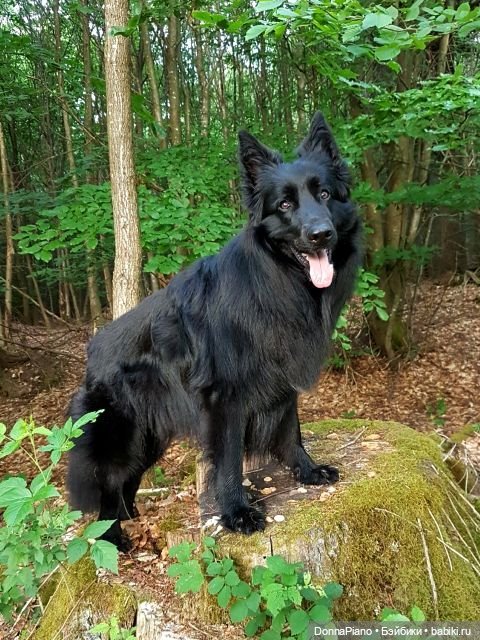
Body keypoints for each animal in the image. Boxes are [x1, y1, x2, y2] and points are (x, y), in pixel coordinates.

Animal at [67, 112, 362, 550]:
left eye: (324, 194)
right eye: (285, 205)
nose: (321, 234)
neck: (277, 283)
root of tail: (93, 350)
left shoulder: (283, 382)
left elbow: (291, 432)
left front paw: (307, 472)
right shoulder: (225, 402)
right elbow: (229, 461)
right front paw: (236, 512)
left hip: (150, 439)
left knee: (127, 482)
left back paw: (130, 516)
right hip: (123, 436)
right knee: (108, 483)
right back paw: (112, 536)